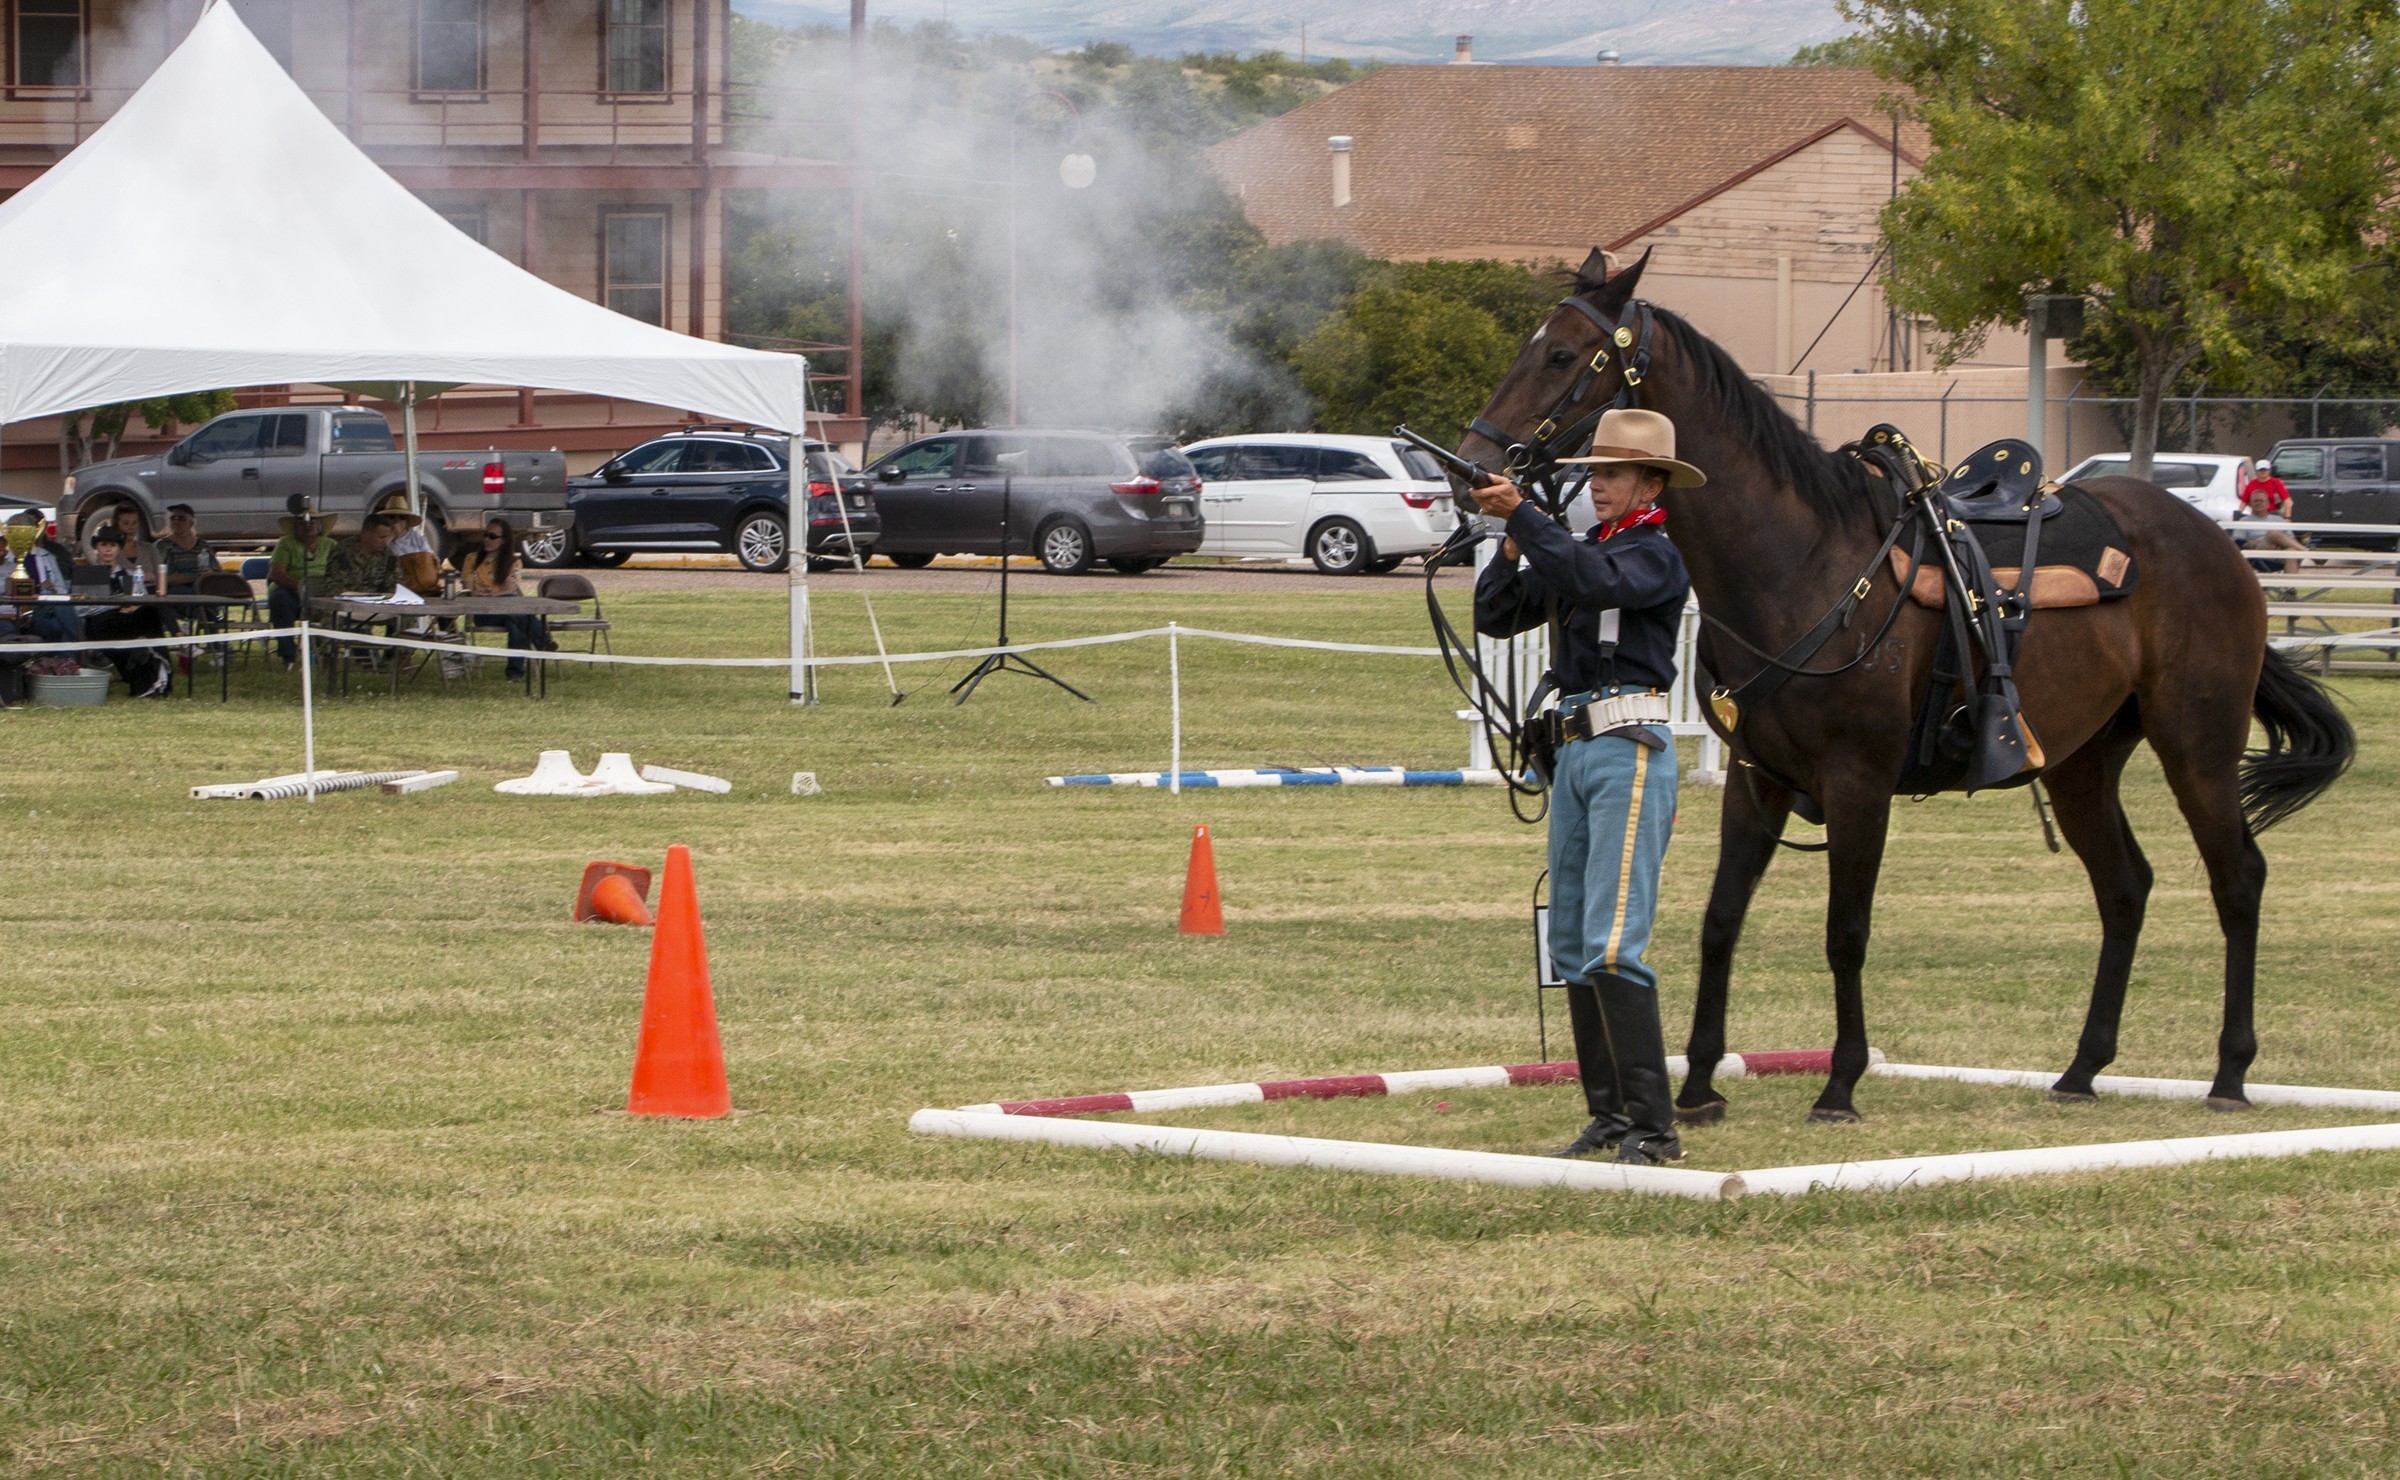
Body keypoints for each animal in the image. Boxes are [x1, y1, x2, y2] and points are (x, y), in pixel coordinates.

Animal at [1449, 250, 2352, 1117]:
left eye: (1563, 353)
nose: (1476, 468)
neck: (1803, 562)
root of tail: (2217, 542)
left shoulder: (1860, 782)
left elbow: (1845, 931)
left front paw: (1840, 1085)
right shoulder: (1756, 779)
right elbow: (1719, 921)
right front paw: (1699, 1084)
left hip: (2196, 746)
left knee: (2238, 880)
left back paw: (2230, 1073)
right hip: (2081, 762)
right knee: (2125, 887)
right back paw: (2081, 1069)